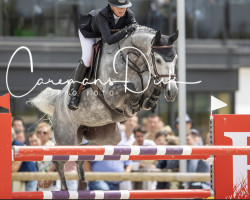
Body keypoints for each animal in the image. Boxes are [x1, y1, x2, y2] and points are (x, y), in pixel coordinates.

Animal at [30, 25, 179, 190]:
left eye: (175, 59)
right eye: (158, 60)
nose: (172, 92)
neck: (133, 63)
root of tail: (57, 101)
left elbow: (149, 96)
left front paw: (152, 95)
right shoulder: (111, 94)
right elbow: (130, 88)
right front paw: (131, 107)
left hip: (108, 136)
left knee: (83, 152)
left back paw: (82, 183)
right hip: (66, 139)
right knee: (59, 161)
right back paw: (65, 189)